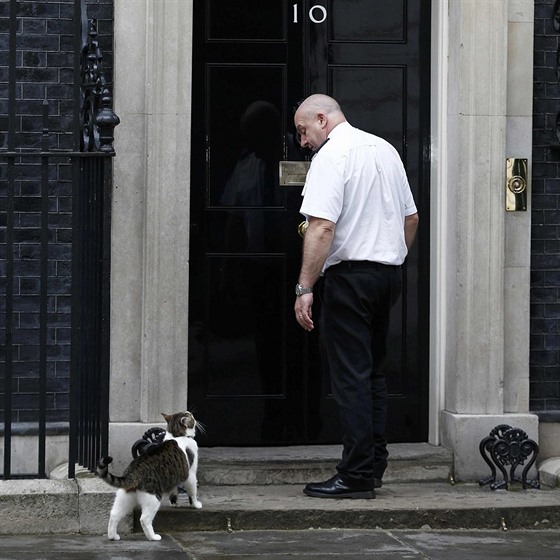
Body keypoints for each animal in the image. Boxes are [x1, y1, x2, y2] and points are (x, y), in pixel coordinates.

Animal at [96, 412, 201, 544]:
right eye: (191, 416)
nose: (194, 416)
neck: (177, 435)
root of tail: (133, 473)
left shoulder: (173, 477)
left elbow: (173, 491)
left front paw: (174, 503)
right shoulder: (190, 474)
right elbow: (192, 491)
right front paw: (196, 504)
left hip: (125, 497)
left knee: (114, 514)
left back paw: (113, 536)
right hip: (153, 498)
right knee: (144, 519)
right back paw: (153, 537)